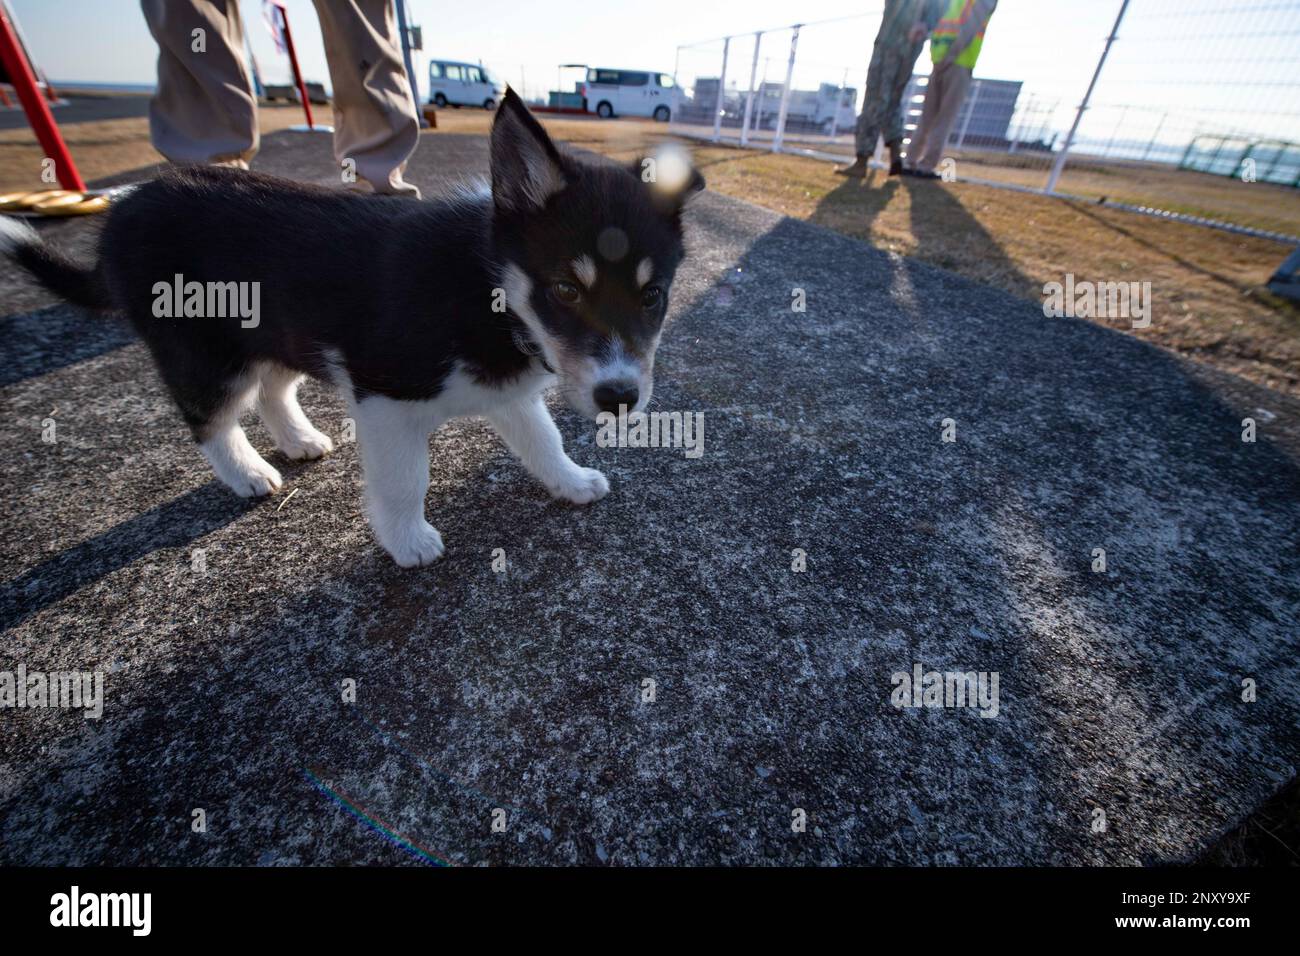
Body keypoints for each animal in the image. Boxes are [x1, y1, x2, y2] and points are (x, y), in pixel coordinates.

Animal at [2, 89, 702, 564]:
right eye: (565, 290)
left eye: (654, 296)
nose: (620, 399)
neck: (493, 294)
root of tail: (123, 211)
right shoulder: (385, 396)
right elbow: (404, 479)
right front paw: (408, 540)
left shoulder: (508, 391)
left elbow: (543, 440)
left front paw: (571, 481)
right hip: (204, 351)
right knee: (209, 419)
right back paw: (248, 473)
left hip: (276, 333)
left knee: (272, 391)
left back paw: (299, 439)